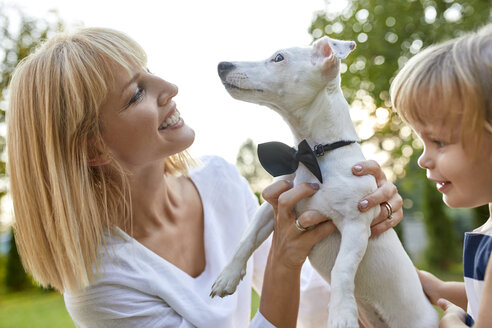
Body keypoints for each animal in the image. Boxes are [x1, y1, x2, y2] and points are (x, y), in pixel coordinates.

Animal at [211, 36, 438, 328]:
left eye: (279, 58)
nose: (222, 65)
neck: (315, 155)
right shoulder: (271, 206)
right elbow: (246, 237)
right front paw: (227, 276)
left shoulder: (356, 223)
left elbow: (342, 268)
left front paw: (341, 314)